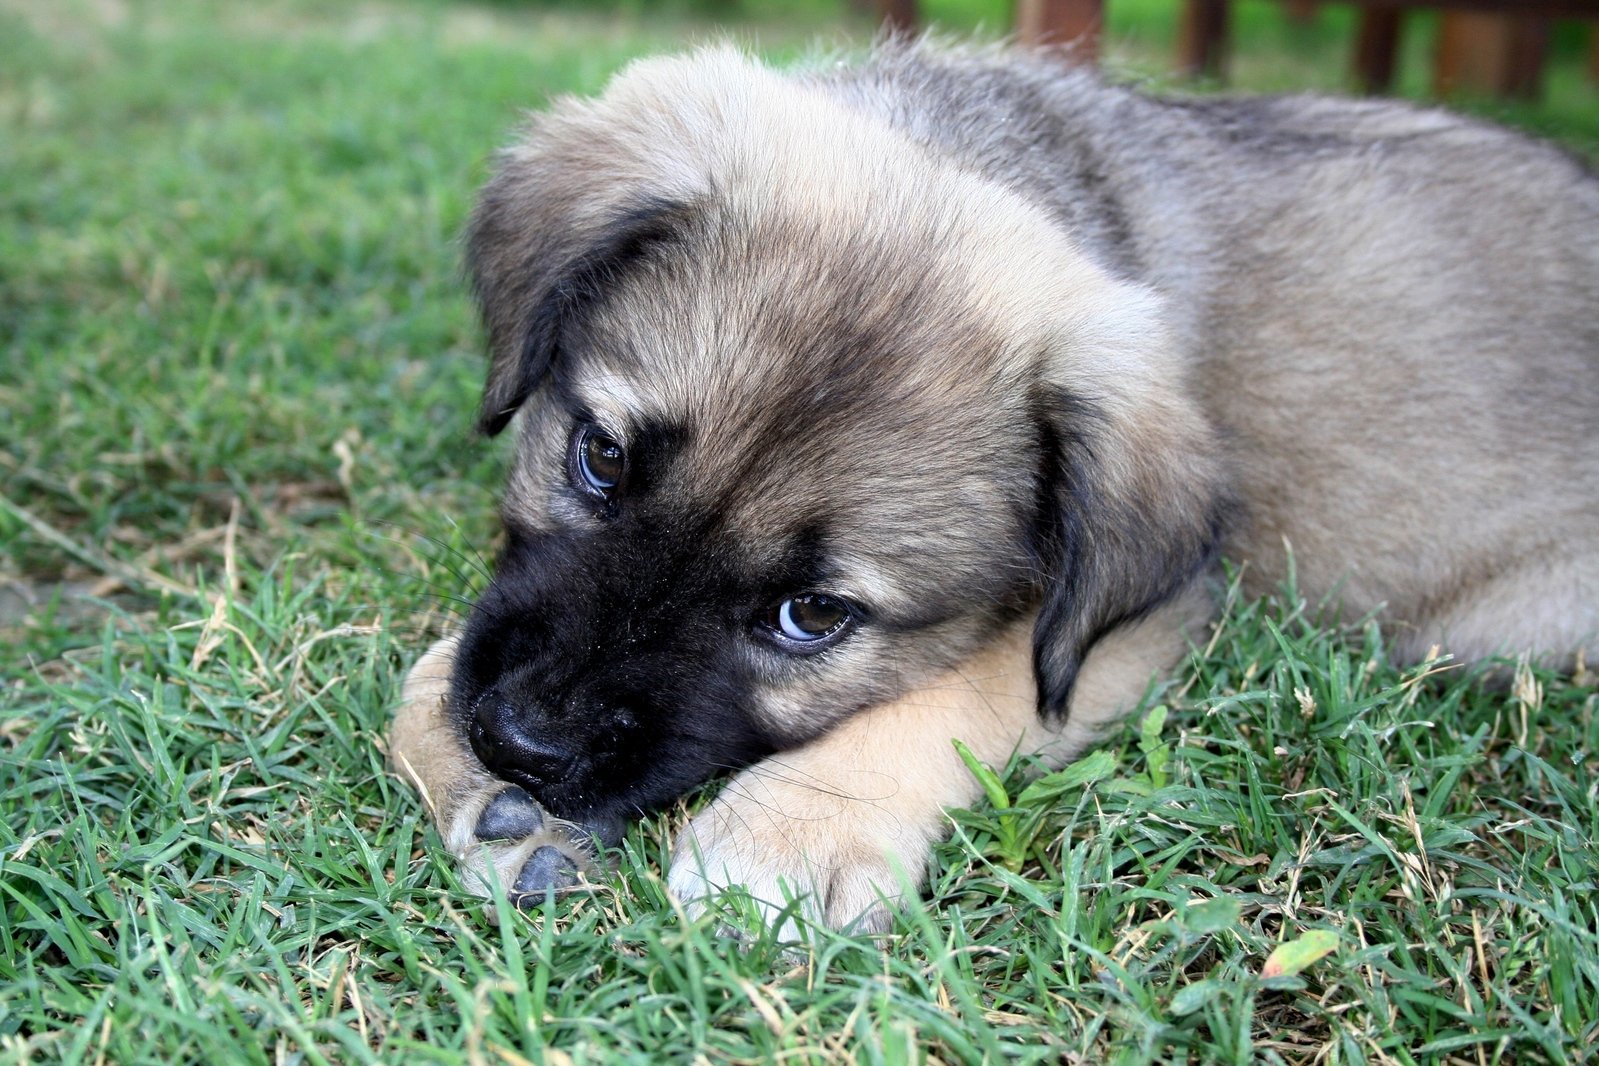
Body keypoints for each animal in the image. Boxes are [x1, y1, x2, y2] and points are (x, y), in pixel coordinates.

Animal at [390, 39, 1599, 926]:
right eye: (598, 458)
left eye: (811, 616)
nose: (521, 744)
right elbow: (426, 667)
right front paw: (469, 777)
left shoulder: (1137, 623)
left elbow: (968, 689)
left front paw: (793, 834)